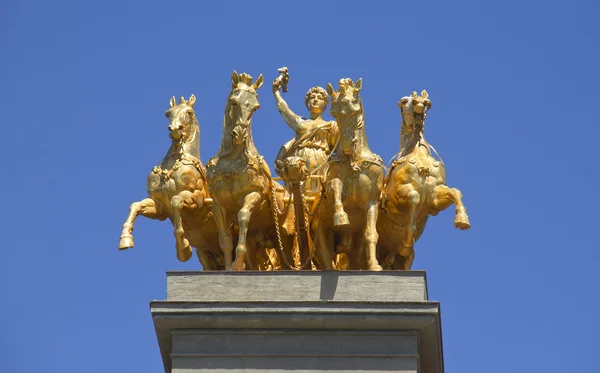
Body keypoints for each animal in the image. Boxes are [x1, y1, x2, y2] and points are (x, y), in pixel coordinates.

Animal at [118, 94, 225, 268]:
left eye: (189, 112)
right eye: (168, 113)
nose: (175, 129)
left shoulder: (197, 198)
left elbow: (175, 202)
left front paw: (183, 248)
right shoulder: (159, 206)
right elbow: (135, 206)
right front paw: (125, 239)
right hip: (206, 253)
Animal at [207, 71, 296, 270]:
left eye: (255, 108)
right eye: (234, 102)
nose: (240, 134)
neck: (231, 161)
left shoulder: (254, 194)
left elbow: (243, 215)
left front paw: (237, 263)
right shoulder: (218, 204)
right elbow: (225, 238)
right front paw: (229, 267)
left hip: (285, 234)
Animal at [310, 78, 384, 270]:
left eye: (355, 109)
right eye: (333, 113)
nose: (348, 144)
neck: (353, 162)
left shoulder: (371, 203)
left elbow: (371, 234)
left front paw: (374, 265)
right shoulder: (329, 190)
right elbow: (335, 185)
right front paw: (341, 216)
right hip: (320, 237)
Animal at [378, 91, 472, 268]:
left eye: (427, 102)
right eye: (404, 101)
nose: (420, 102)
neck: (419, 157)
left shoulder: (434, 198)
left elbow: (455, 192)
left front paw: (462, 220)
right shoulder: (398, 193)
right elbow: (414, 196)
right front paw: (407, 241)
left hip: (403, 261)